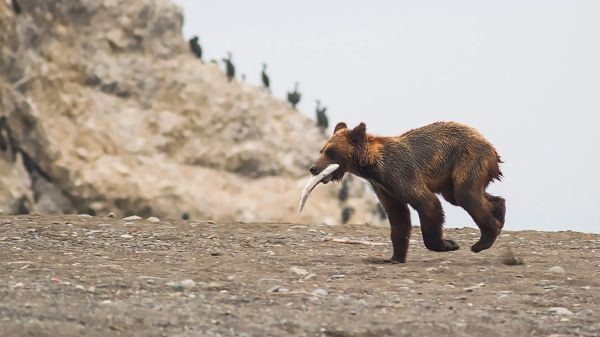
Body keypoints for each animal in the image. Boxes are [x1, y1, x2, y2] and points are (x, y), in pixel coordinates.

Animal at [310, 121, 506, 262]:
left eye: (331, 152)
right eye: (322, 150)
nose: (313, 168)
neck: (373, 166)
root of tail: (491, 147)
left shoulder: (401, 174)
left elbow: (427, 203)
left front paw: (447, 244)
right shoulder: (385, 187)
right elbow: (398, 216)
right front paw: (395, 257)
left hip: (468, 159)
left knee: (465, 194)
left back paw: (483, 240)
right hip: (451, 177)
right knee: (463, 196)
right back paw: (499, 211)